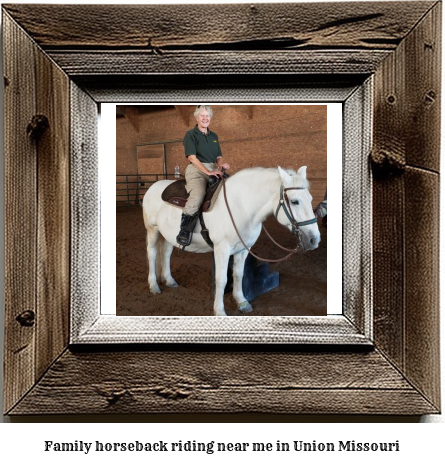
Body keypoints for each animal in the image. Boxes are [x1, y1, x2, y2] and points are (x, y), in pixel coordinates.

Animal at [144, 166, 320, 316]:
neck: (241, 206)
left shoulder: (243, 249)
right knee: (152, 254)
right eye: (295, 201)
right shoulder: (222, 249)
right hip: (152, 230)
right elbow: (221, 280)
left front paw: (242, 302)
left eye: (310, 199)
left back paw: (169, 280)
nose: (314, 239)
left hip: (167, 235)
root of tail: (154, 187)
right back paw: (154, 285)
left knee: (166, 254)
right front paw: (219, 311)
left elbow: (238, 275)